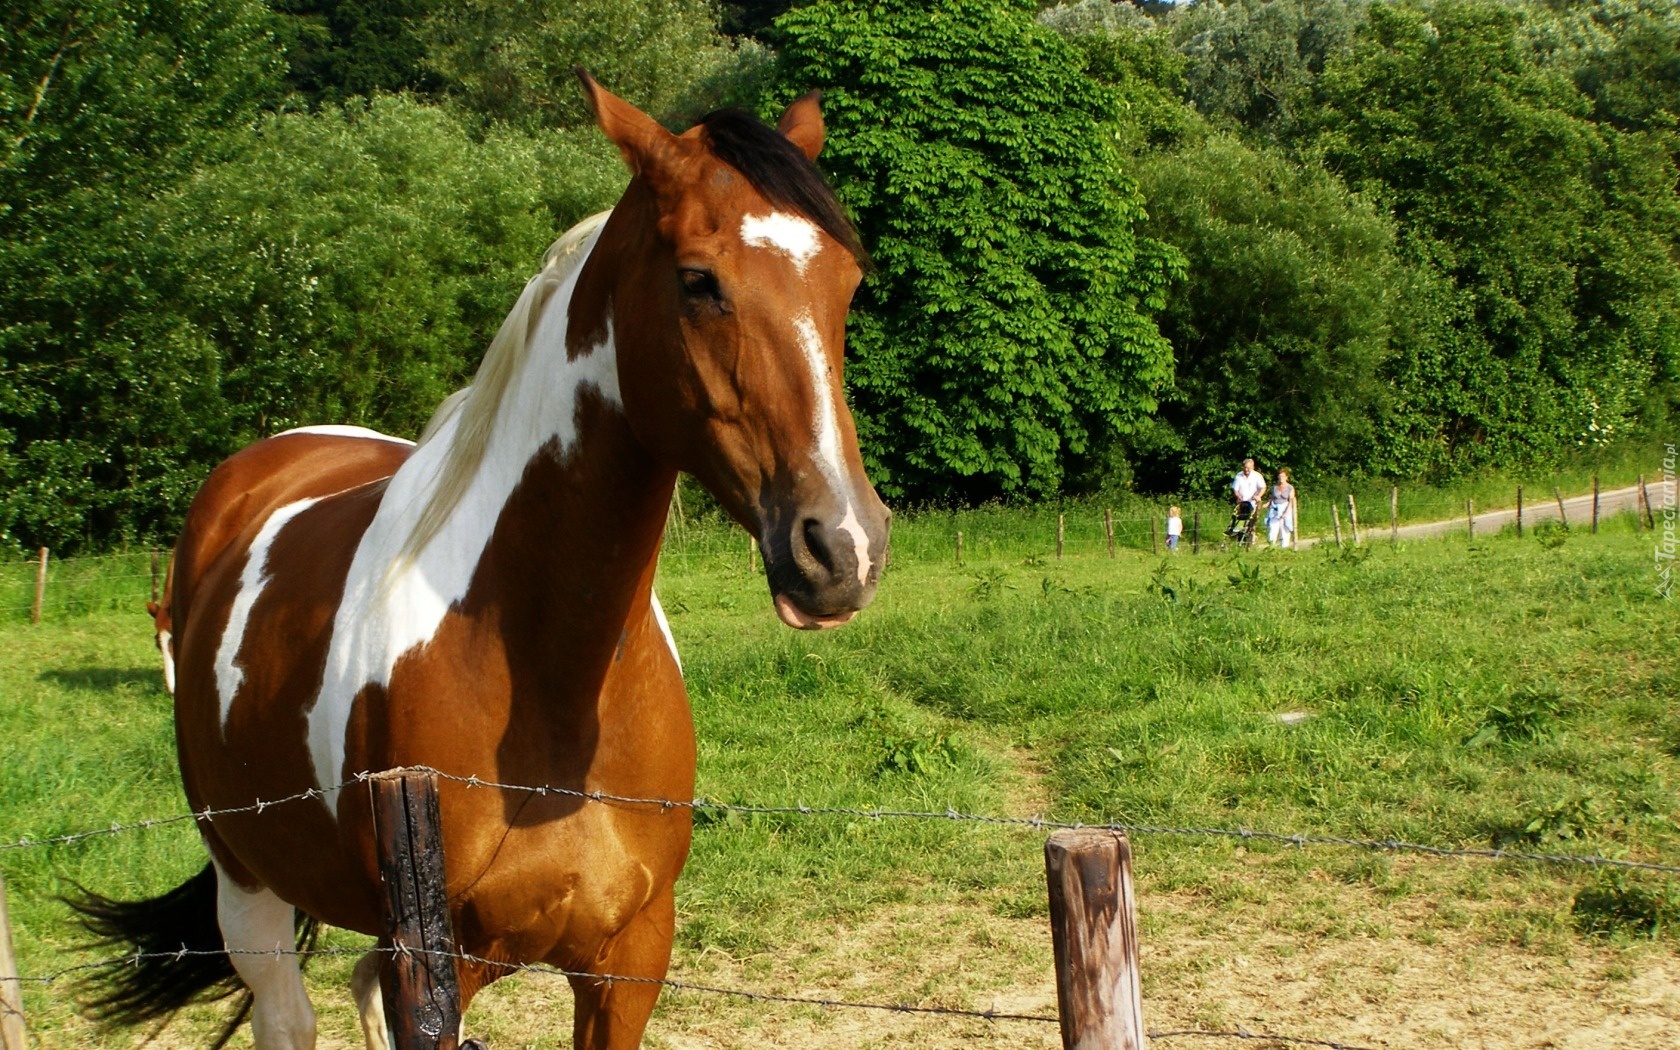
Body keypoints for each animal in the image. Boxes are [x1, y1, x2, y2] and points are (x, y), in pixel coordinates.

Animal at [78, 75, 893, 1048]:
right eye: (700, 280)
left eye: (845, 283)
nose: (843, 547)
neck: (553, 682)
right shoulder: (434, 968)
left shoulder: (627, 962)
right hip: (248, 890)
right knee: (288, 1012)